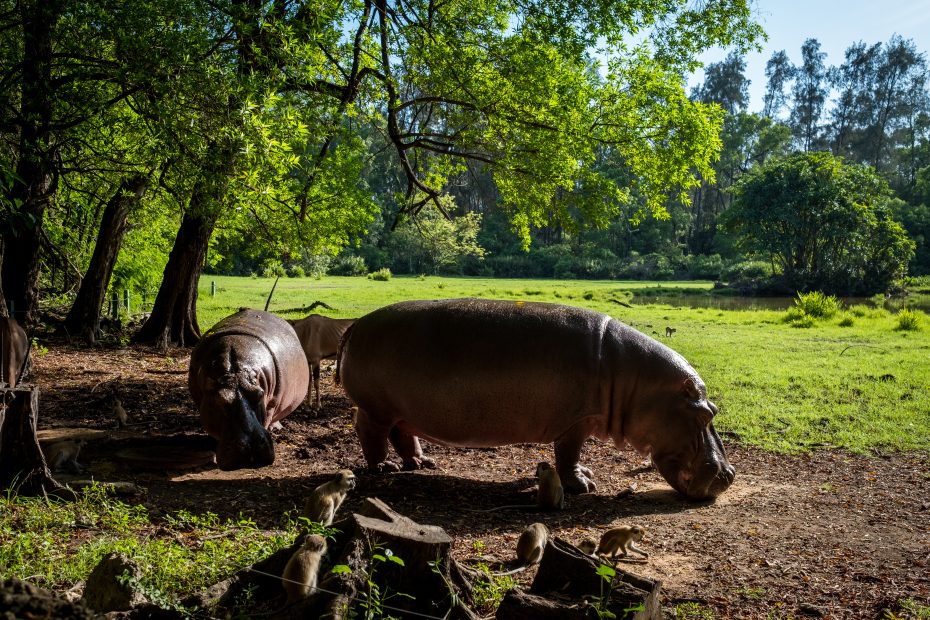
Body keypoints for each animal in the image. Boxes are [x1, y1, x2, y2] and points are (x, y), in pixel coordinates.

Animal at [190, 310, 310, 470]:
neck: (235, 371)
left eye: (259, 395)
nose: (251, 444)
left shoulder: (270, 402)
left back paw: (276, 428)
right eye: (219, 400)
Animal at [338, 298, 736, 502]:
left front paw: (583, 477)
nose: (730, 474)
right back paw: (384, 468)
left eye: (714, 409)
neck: (636, 382)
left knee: (402, 434)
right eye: (704, 415)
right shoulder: (575, 422)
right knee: (369, 433)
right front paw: (583, 484)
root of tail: (355, 324)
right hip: (375, 408)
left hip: (400, 411)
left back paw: (422, 463)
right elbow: (568, 454)